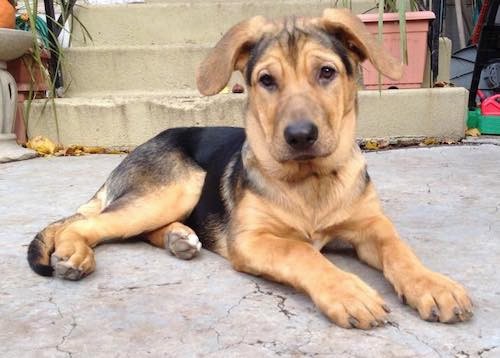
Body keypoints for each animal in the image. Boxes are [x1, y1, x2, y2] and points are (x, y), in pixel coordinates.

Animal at [27, 9, 472, 330]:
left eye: (326, 72)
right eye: (267, 80)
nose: (300, 136)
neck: (310, 181)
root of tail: (142, 144)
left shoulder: (370, 225)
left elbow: (400, 249)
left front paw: (434, 285)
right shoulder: (252, 239)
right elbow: (301, 252)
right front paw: (348, 291)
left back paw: (178, 238)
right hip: (178, 187)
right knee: (86, 225)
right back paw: (74, 253)